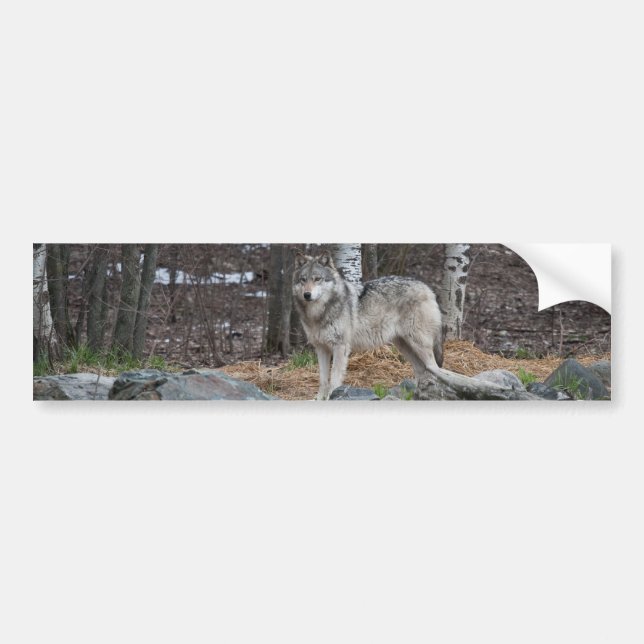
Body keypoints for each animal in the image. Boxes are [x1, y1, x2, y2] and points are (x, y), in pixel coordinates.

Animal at [292, 250, 443, 400]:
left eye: (317, 279)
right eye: (303, 279)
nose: (307, 294)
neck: (319, 313)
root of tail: (427, 287)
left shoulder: (340, 347)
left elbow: (334, 379)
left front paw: (332, 397)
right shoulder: (321, 348)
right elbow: (323, 380)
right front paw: (319, 399)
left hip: (418, 344)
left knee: (435, 368)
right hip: (404, 346)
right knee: (420, 370)